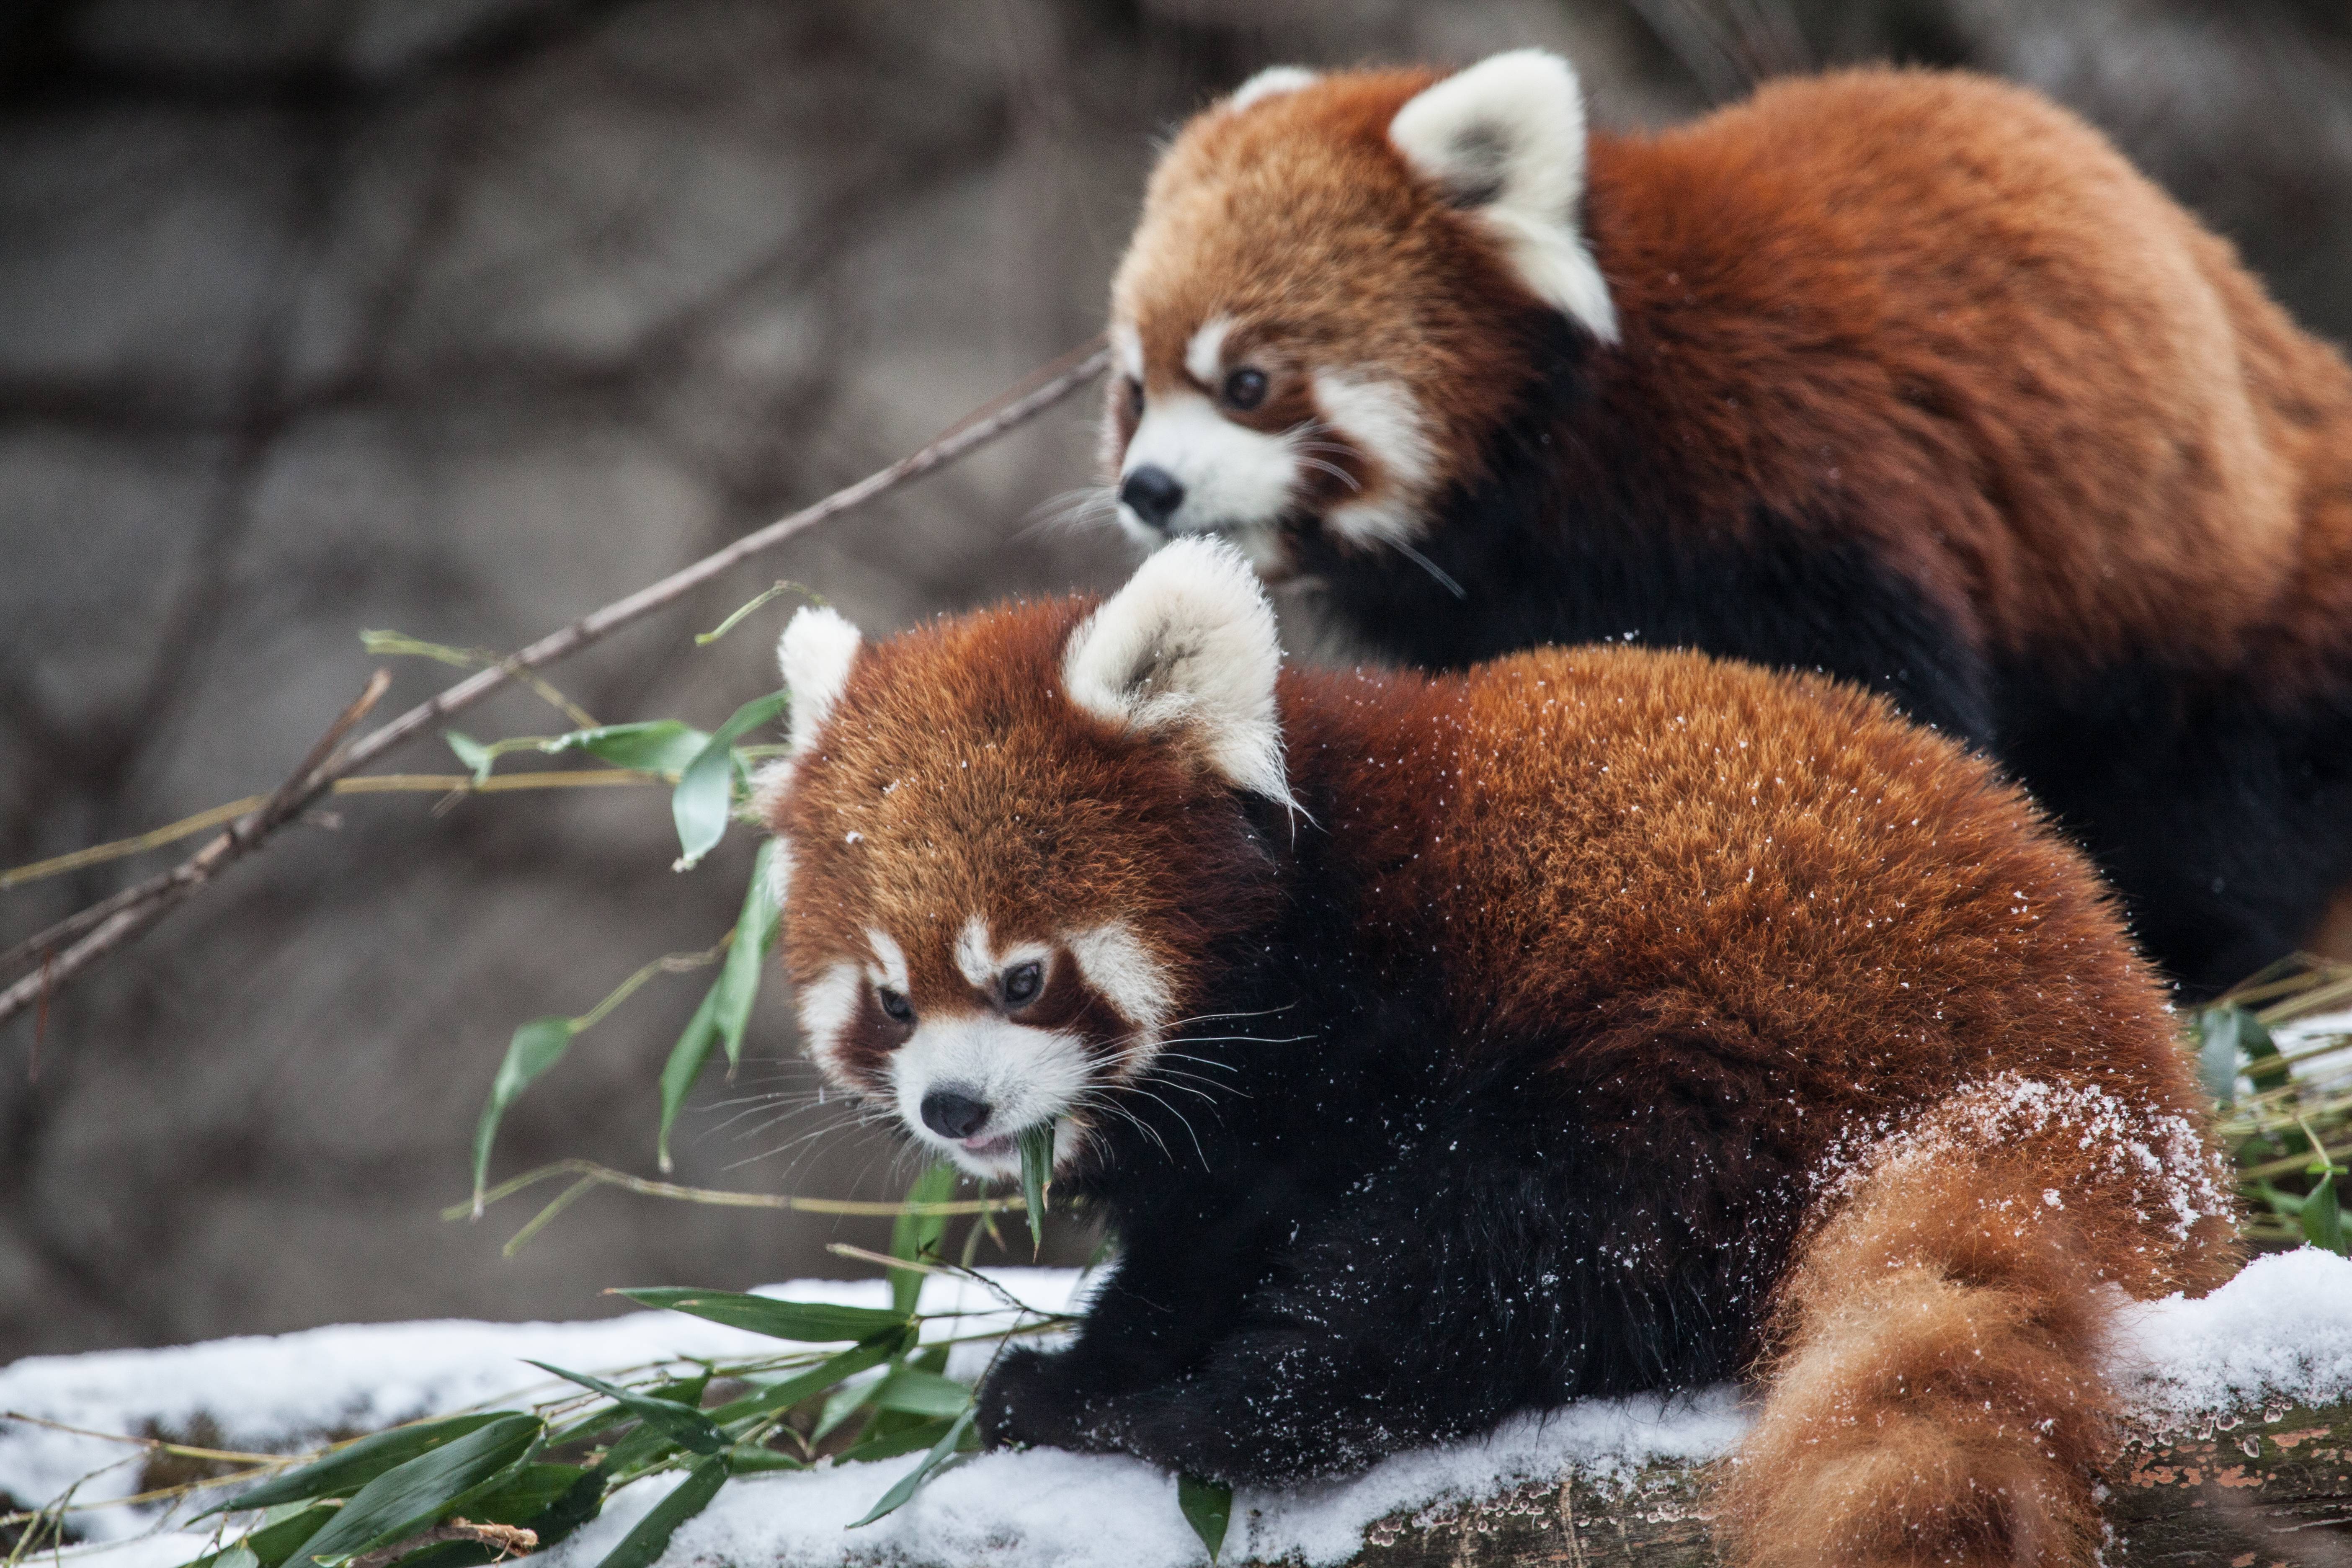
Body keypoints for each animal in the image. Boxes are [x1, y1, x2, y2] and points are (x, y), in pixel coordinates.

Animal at [762, 541, 2229, 1568]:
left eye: (1021, 977)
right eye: (890, 1002)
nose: (954, 1110)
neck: (1308, 899)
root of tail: (2119, 1104)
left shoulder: (1352, 1042)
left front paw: (1091, 1388)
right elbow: (1194, 1247)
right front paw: (1102, 1354)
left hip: (1722, 1057)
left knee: (1501, 1263)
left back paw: (1213, 1415)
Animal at [1096, 58, 2352, 1006]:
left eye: (1247, 381)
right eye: (1135, 389)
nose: (1147, 488)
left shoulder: (1798, 482)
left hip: (2234, 606)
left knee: (2225, 812)